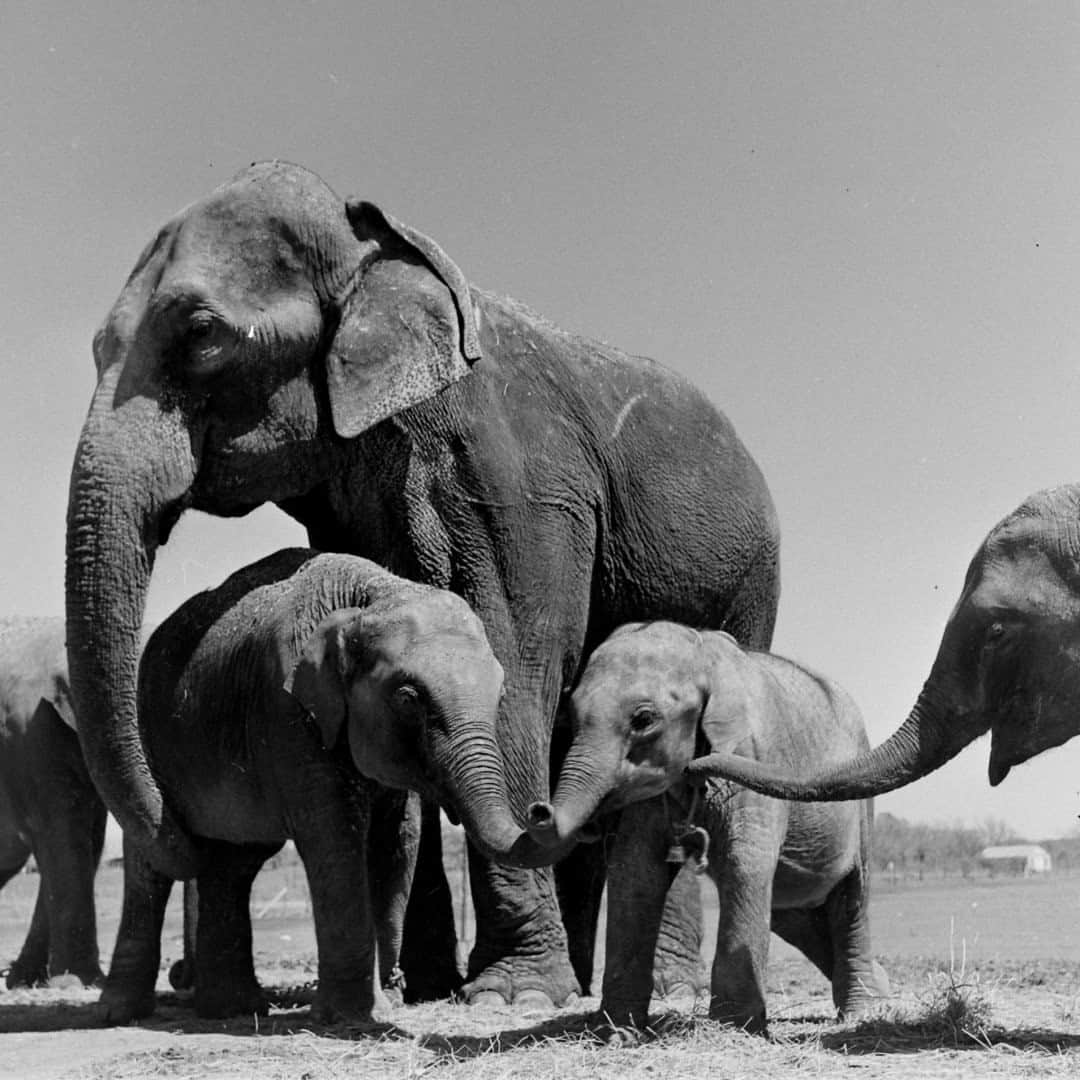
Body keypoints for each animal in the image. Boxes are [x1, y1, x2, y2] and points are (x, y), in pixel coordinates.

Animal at [102, 547, 514, 1024]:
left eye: (500, 696)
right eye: (408, 699)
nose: (542, 813)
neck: (374, 593)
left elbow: (397, 842)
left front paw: (386, 1002)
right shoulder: (287, 710)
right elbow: (333, 835)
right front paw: (350, 1017)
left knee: (234, 862)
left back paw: (231, 1009)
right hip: (150, 739)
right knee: (153, 865)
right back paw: (122, 1013)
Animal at [522, 622, 887, 1033]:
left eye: (643, 720)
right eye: (570, 712)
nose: (539, 810)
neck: (704, 653)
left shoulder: (752, 758)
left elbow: (744, 863)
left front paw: (734, 1028)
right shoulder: (652, 800)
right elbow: (635, 873)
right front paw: (617, 1033)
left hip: (861, 803)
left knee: (851, 896)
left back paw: (863, 1009)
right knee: (790, 909)